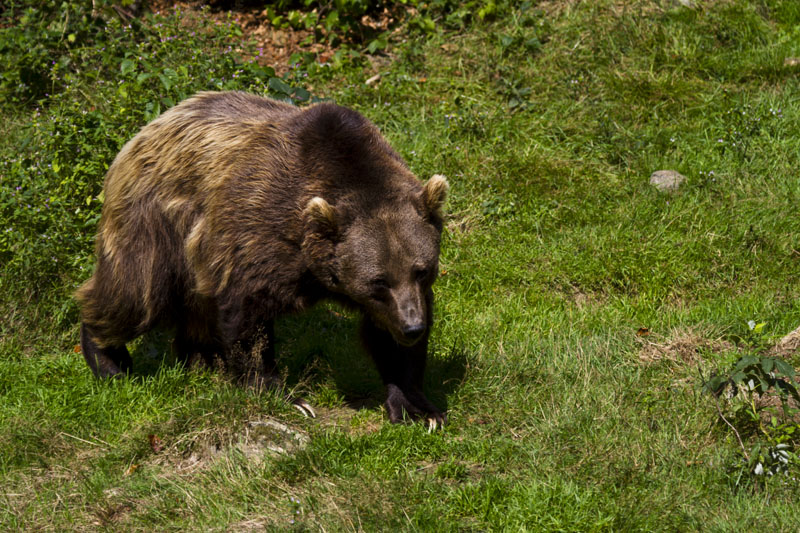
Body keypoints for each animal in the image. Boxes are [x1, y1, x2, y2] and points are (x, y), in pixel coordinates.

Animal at [73, 89, 450, 426]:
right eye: (378, 281)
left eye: (422, 270)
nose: (413, 327)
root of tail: (147, 128)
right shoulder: (257, 231)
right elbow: (248, 318)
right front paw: (285, 396)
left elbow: (387, 339)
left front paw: (418, 408)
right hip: (154, 220)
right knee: (134, 292)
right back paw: (107, 359)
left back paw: (202, 358)